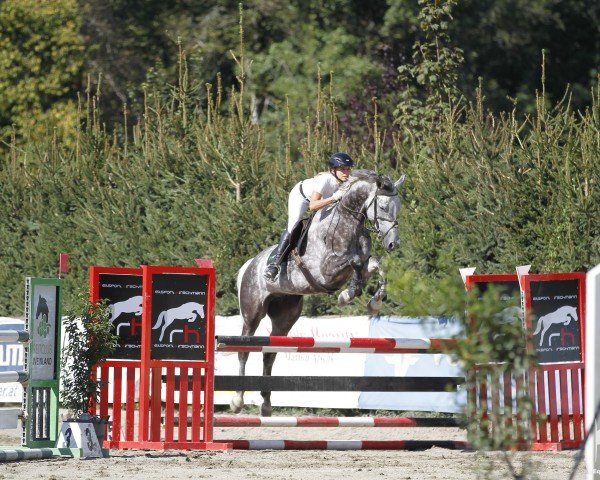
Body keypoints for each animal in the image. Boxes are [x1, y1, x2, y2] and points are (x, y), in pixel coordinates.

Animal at [232, 170, 406, 416]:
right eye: (382, 206)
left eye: (398, 206)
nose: (393, 243)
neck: (348, 223)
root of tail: (249, 265)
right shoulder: (325, 271)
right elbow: (354, 262)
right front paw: (349, 294)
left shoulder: (363, 263)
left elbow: (376, 264)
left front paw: (374, 302)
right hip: (252, 313)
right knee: (244, 350)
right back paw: (237, 400)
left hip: (285, 317)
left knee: (269, 353)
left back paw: (266, 404)